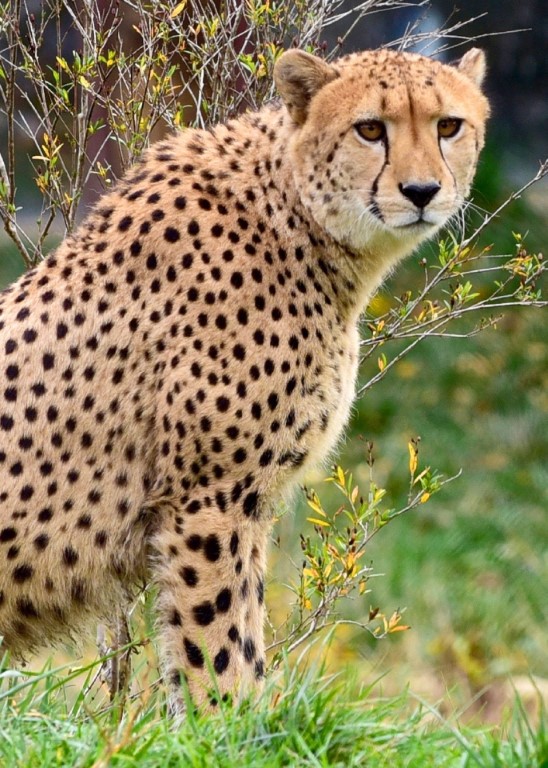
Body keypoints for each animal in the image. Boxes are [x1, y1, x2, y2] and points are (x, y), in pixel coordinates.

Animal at [0, 46, 489, 712]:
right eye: (369, 129)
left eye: (448, 125)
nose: (421, 192)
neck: (297, 217)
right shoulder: (209, 499)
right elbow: (219, 646)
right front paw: (225, 722)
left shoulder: (246, 501)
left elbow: (243, 636)